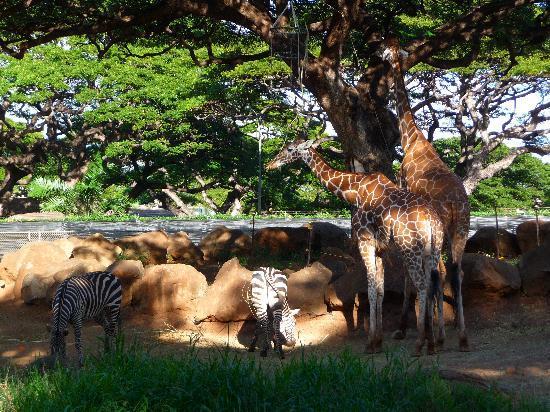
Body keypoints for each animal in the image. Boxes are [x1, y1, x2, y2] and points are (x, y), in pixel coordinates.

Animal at [270, 138, 446, 354]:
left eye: (289, 149)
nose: (270, 164)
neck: (353, 190)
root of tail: (431, 220)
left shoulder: (365, 242)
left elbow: (370, 290)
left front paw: (370, 343)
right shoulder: (380, 250)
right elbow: (380, 291)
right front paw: (378, 341)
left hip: (410, 249)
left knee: (421, 285)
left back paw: (420, 343)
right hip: (433, 251)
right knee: (434, 284)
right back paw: (433, 343)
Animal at [384, 36, 470, 350]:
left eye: (386, 52)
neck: (411, 138)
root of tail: (456, 204)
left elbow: (411, 278)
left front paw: (403, 328)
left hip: (441, 230)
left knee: (438, 273)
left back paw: (436, 333)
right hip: (460, 229)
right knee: (455, 272)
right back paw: (460, 335)